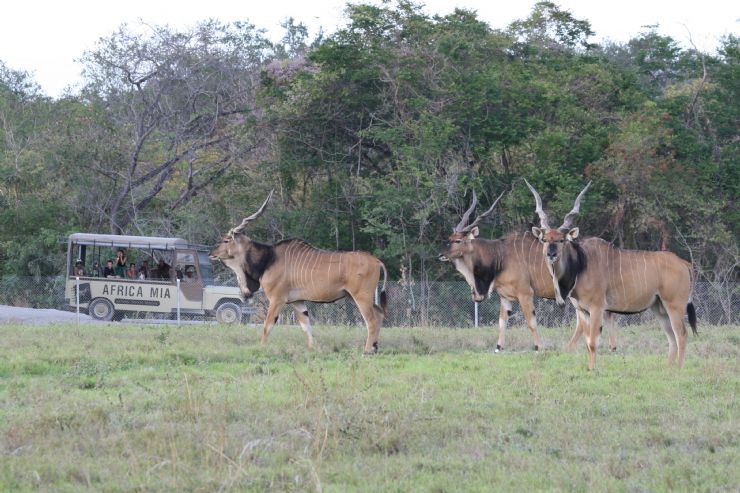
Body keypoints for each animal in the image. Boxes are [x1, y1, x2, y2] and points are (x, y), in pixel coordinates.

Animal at [208, 190, 388, 352]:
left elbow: (267, 325)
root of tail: (377, 261)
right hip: (355, 296)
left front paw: (261, 348)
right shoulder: (297, 301)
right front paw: (312, 349)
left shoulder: (277, 299)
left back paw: (366, 351)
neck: (269, 258)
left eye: (226, 240)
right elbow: (306, 327)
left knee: (371, 321)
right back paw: (375, 347)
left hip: (361, 296)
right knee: (379, 315)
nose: (211, 253)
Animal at [440, 190, 620, 352]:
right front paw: (498, 347)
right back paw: (610, 347)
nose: (440, 255)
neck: (500, 256)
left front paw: (539, 346)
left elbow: (531, 322)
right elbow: (502, 322)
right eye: (449, 238)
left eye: (458, 240)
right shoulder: (505, 297)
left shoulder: (525, 293)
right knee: (601, 316)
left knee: (587, 321)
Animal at [524, 179, 696, 368]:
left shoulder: (597, 307)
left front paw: (593, 370)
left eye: (562, 240)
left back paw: (678, 369)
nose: (551, 254)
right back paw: (668, 369)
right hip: (659, 307)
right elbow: (587, 342)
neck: (581, 264)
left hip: (675, 304)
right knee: (671, 337)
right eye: (544, 240)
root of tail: (684, 263)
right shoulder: (583, 311)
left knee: (681, 334)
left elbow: (593, 343)